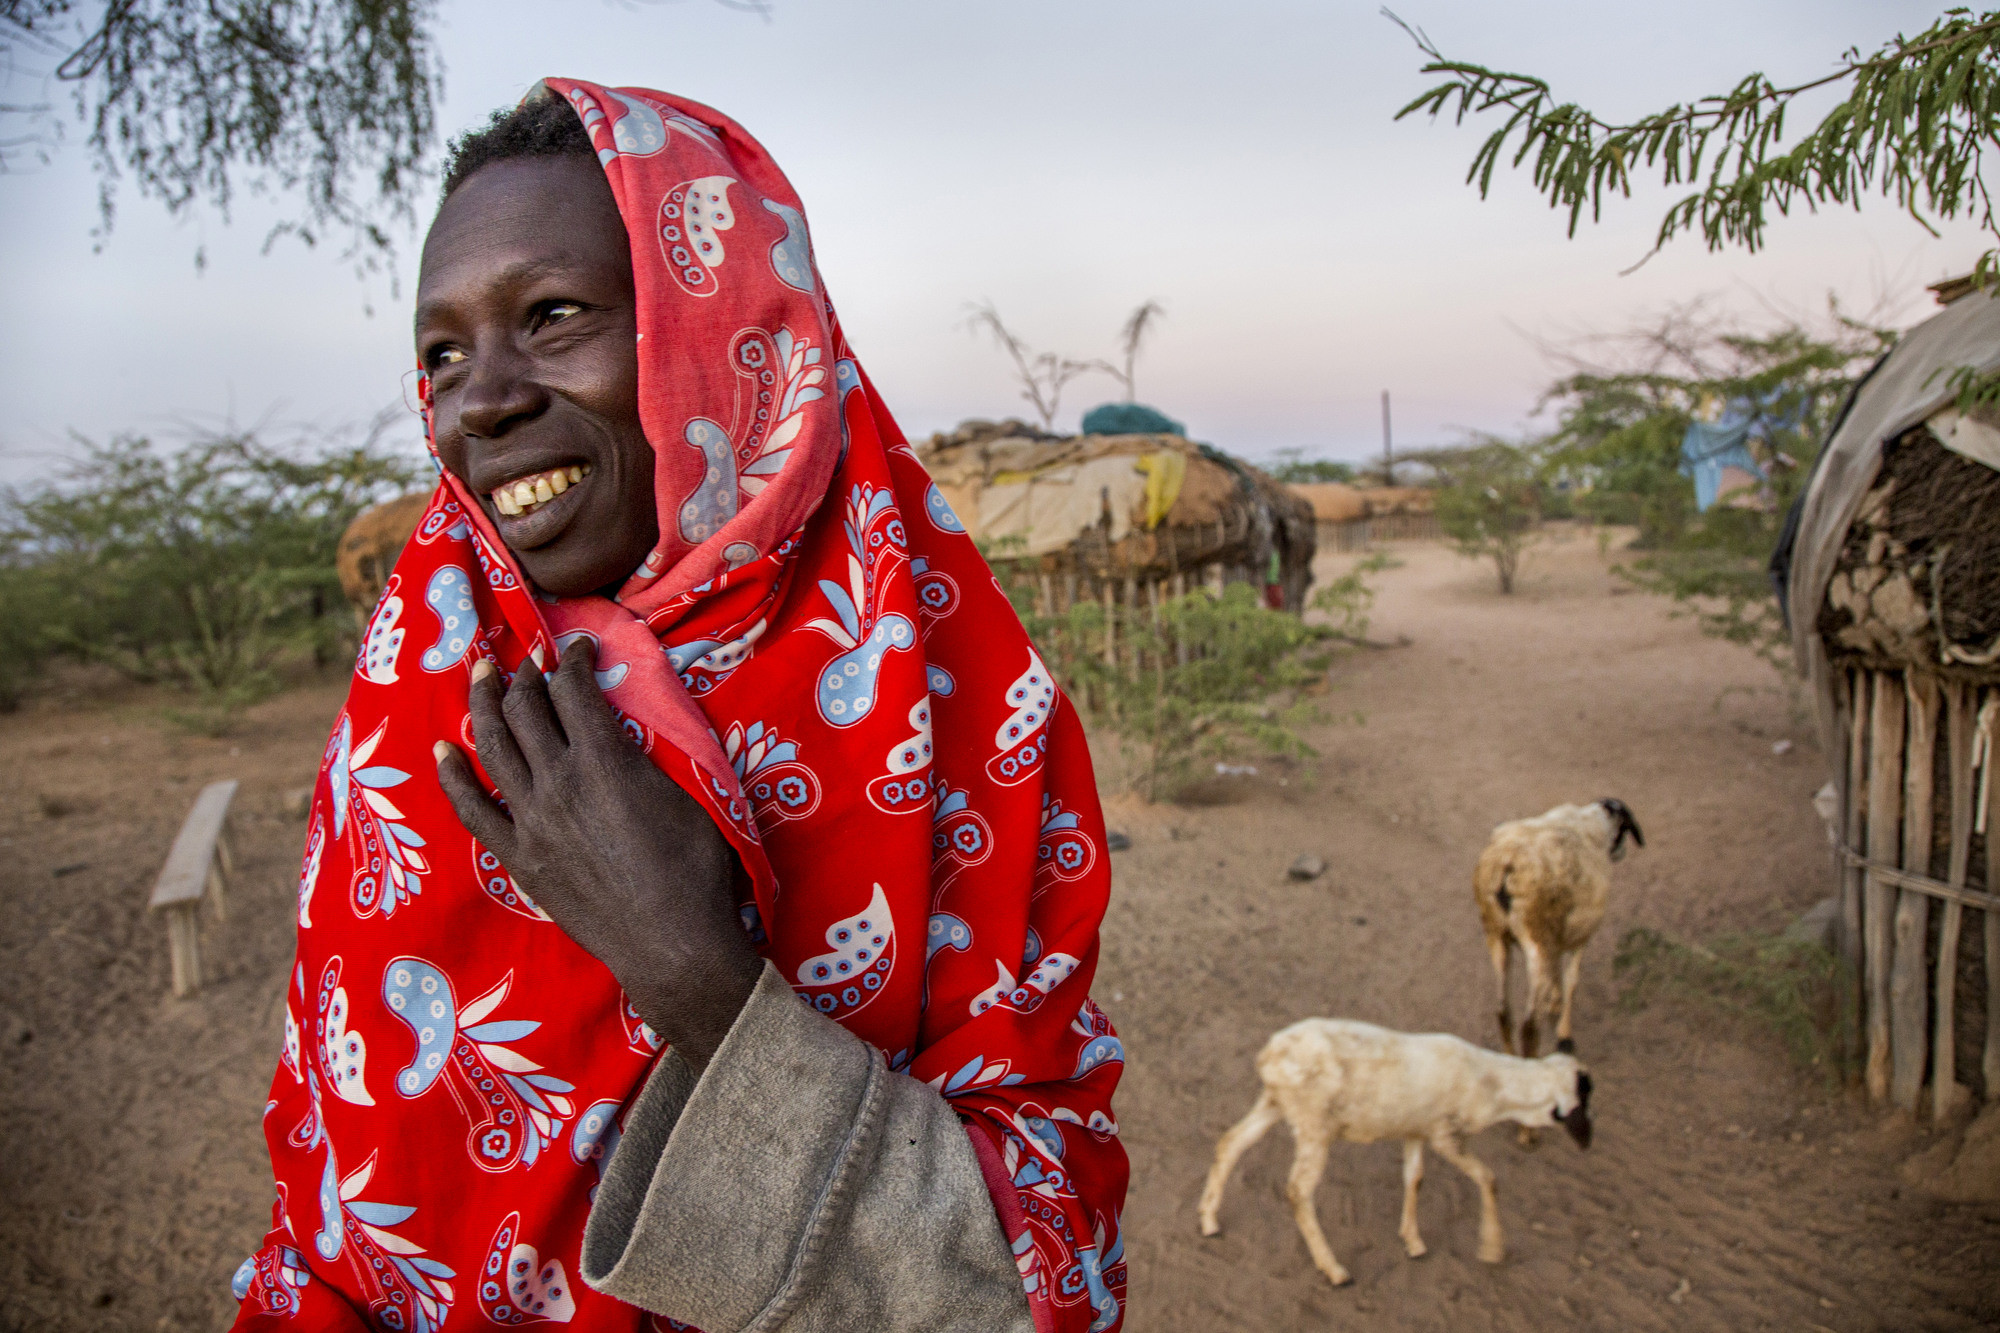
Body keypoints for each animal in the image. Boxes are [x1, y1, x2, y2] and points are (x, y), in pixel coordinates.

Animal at [1184, 1012, 1592, 1280]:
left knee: (1232, 1142)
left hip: (1274, 1103)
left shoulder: (1416, 1130)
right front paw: (1492, 1249)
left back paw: (1209, 1220)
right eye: (1586, 1096)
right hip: (1314, 1126)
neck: (1496, 1086)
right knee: (1298, 1190)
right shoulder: (1444, 1135)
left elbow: (1415, 1178)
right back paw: (1334, 1270)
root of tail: (1268, 1056)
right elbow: (1488, 1177)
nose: (1588, 1141)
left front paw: (1413, 1241)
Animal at [1472, 792, 1640, 1056]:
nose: (1620, 851)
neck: (1590, 820)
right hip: (1538, 941)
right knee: (1529, 1025)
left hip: (1496, 934)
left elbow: (1558, 977)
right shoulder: (1580, 935)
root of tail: (1508, 866)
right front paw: (1564, 1034)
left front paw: (1555, 1005)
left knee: (1503, 1012)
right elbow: (1571, 979)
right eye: (1625, 828)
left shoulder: (1559, 939)